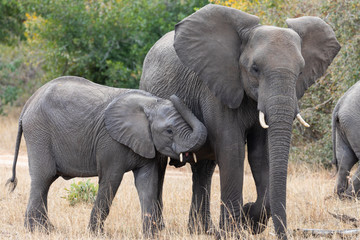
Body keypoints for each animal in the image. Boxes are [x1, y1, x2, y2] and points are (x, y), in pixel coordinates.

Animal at [5, 76, 207, 235]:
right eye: (169, 131)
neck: (149, 104)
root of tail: (28, 104)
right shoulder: (111, 142)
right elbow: (111, 181)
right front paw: (96, 233)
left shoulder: (146, 143)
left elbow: (147, 183)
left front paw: (151, 235)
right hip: (39, 133)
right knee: (43, 178)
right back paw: (37, 230)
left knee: (46, 181)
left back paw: (47, 229)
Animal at [141, 4, 340, 240]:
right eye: (255, 69)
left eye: (301, 71)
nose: (284, 233)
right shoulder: (216, 88)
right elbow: (232, 148)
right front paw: (234, 231)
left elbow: (261, 153)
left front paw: (249, 220)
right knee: (160, 165)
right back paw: (160, 229)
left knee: (203, 169)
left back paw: (203, 231)